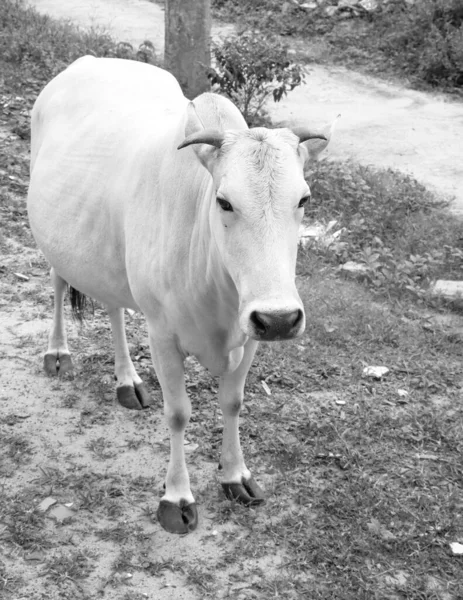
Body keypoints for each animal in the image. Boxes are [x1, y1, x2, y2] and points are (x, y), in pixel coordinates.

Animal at [28, 57, 334, 536]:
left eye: (304, 199)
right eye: (224, 202)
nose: (281, 319)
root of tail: (88, 62)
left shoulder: (250, 333)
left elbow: (233, 402)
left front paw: (236, 475)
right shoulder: (163, 335)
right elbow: (178, 413)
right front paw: (176, 497)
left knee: (113, 306)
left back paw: (127, 380)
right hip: (56, 242)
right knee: (60, 283)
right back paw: (58, 353)